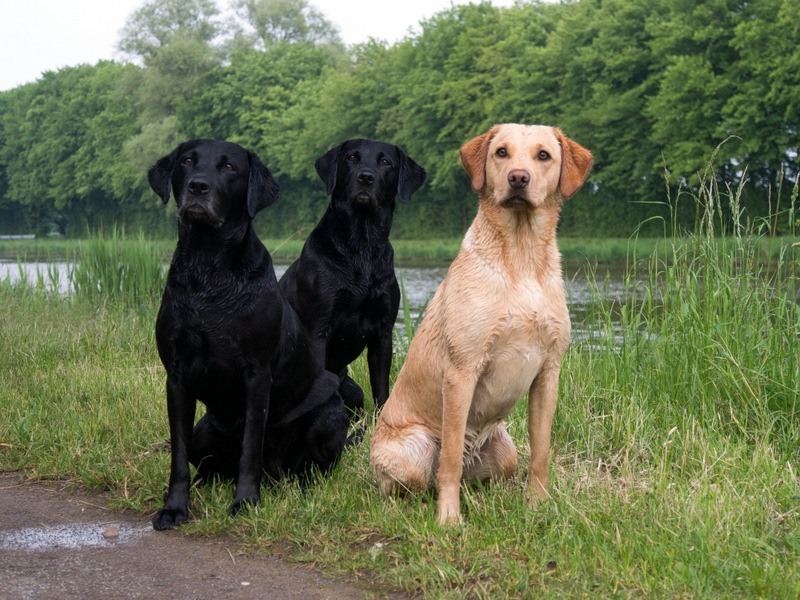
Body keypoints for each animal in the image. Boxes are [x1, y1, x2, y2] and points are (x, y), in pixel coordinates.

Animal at [148, 139, 348, 528]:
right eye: (187, 161)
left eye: (230, 168)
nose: (198, 186)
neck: (207, 271)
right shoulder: (176, 377)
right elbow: (177, 455)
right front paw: (174, 507)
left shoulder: (257, 375)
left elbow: (250, 448)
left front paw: (245, 502)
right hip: (205, 431)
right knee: (206, 466)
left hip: (331, 415)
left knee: (309, 470)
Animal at [278, 139, 424, 420]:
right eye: (351, 158)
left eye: (385, 162)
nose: (365, 177)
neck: (362, 246)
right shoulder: (318, 329)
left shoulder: (383, 332)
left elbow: (381, 386)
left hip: (353, 389)